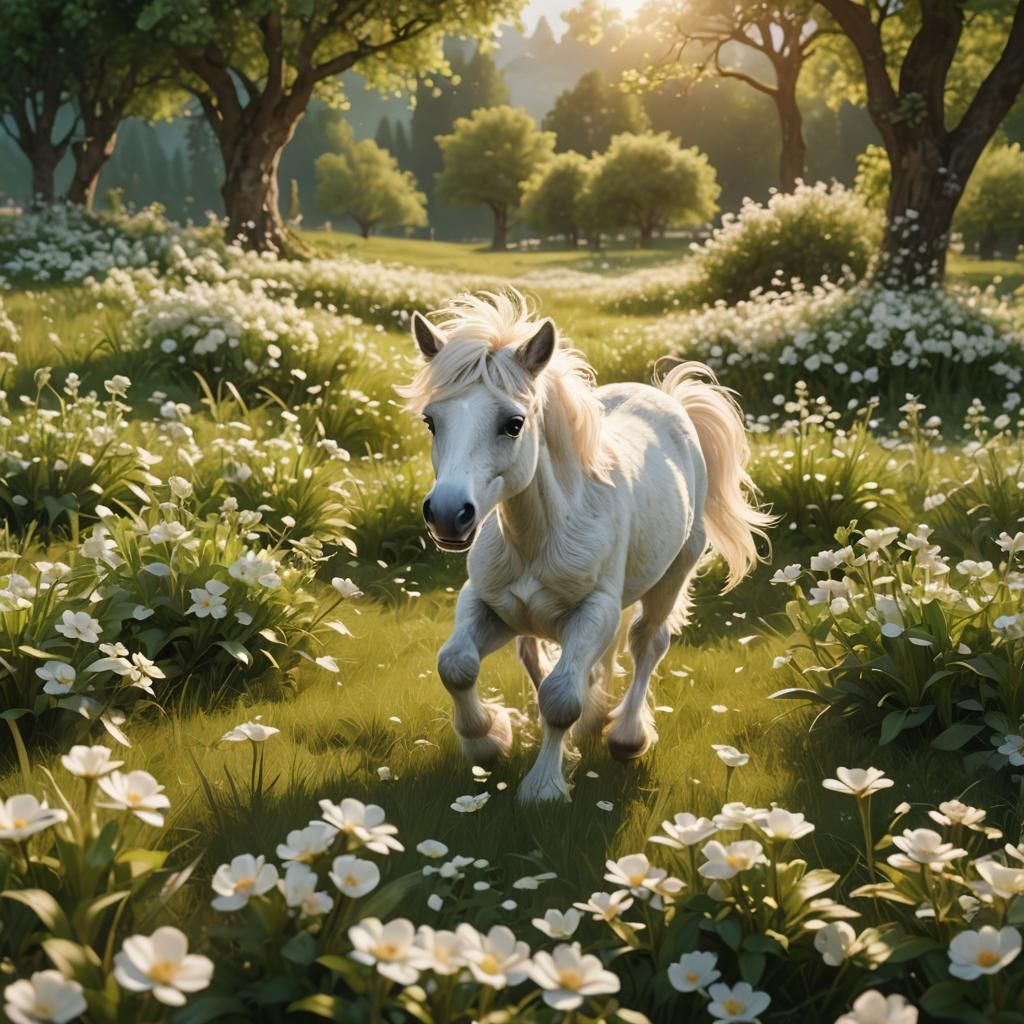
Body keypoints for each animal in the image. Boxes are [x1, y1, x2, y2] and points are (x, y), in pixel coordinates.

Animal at [398, 289, 771, 803]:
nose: (448, 514)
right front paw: (488, 740)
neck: (540, 537)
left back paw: (626, 736)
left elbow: (559, 698)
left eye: (513, 424)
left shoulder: (594, 610)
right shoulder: (490, 605)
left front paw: (544, 787)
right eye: (432, 421)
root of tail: (670, 398)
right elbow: (456, 665)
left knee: (647, 643)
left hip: (673, 572)